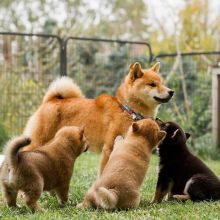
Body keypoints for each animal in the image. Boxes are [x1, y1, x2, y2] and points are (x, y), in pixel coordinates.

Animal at [23, 62, 174, 175]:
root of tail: (51, 100)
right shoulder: (109, 148)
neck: (128, 110)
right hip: (38, 140)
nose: (171, 91)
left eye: (162, 83)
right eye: (152, 84)